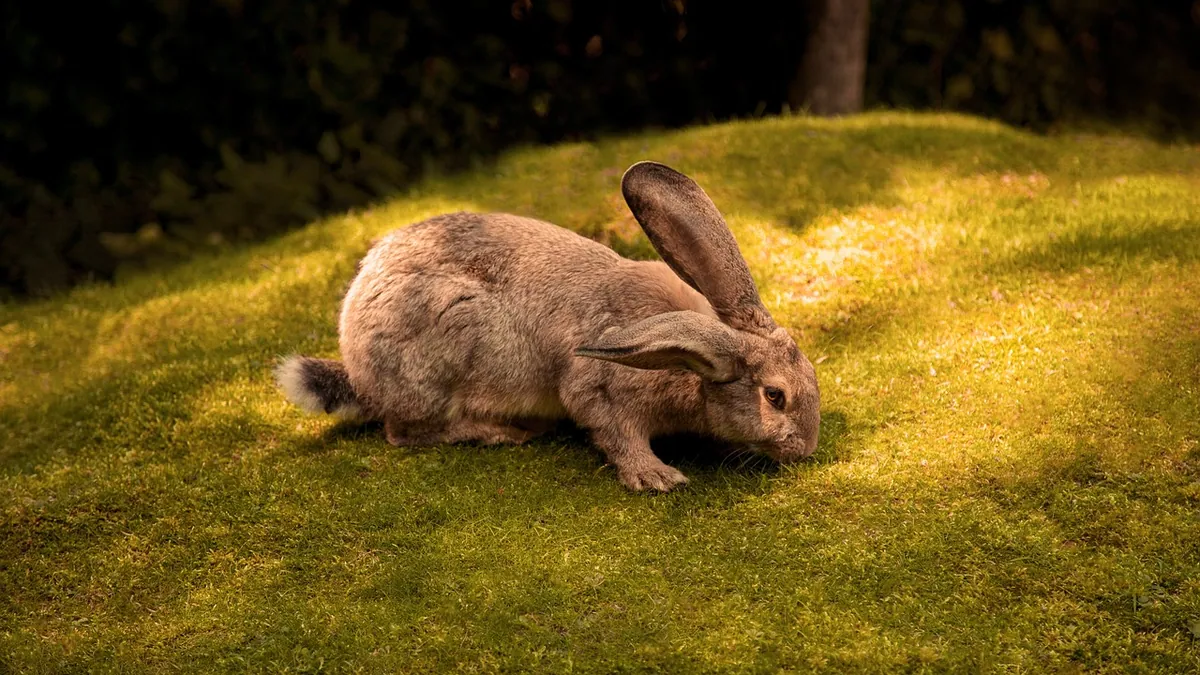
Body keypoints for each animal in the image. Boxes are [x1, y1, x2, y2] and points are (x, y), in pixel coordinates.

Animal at [275, 161, 820, 492]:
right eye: (775, 396)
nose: (807, 449)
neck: (691, 359)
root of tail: (358, 368)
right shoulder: (602, 390)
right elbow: (616, 433)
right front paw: (657, 477)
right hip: (444, 344)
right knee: (406, 432)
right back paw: (501, 433)